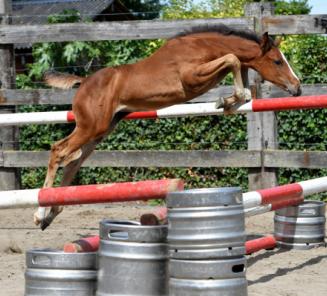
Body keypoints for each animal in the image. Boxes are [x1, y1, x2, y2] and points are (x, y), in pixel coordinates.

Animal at [35, 24, 300, 229]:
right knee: (58, 151)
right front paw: (226, 100)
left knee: (72, 163)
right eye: (277, 61)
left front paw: (227, 102)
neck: (204, 46)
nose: (297, 87)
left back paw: (52, 214)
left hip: (101, 131)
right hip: (91, 127)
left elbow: (241, 82)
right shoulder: (191, 77)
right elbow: (233, 60)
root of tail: (84, 82)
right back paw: (39, 214)